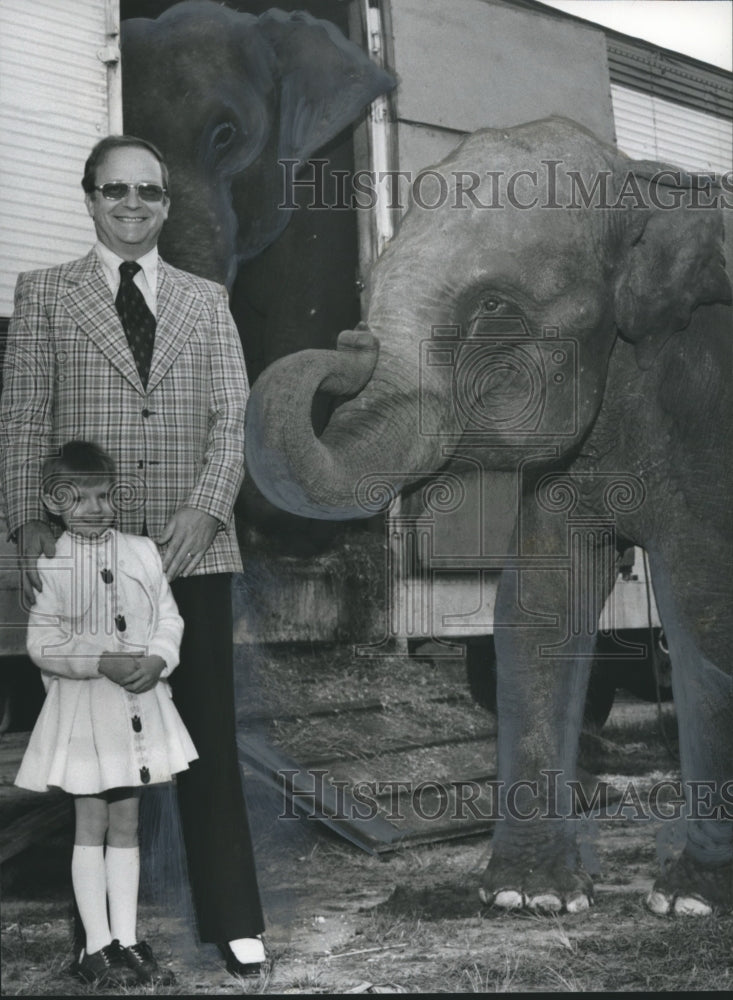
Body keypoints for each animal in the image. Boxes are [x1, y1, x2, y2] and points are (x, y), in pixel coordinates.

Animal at [246, 115, 732, 916]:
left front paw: (691, 902)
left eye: (493, 306)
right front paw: (530, 898)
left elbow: (703, 601)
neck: (639, 180)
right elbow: (538, 606)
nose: (349, 342)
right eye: (368, 284)